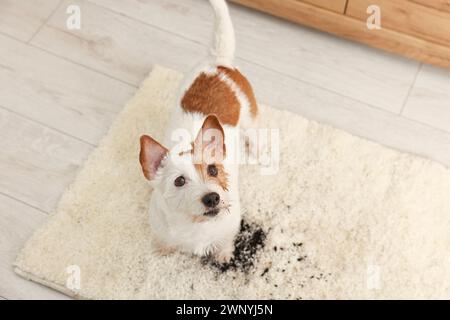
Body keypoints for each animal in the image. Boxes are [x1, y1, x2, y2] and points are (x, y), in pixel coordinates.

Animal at [137, 0, 258, 262]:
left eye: (213, 170)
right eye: (179, 181)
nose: (212, 197)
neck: (196, 225)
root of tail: (218, 60)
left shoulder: (229, 226)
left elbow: (224, 241)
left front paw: (224, 255)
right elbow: (164, 242)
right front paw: (162, 251)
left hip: (251, 117)